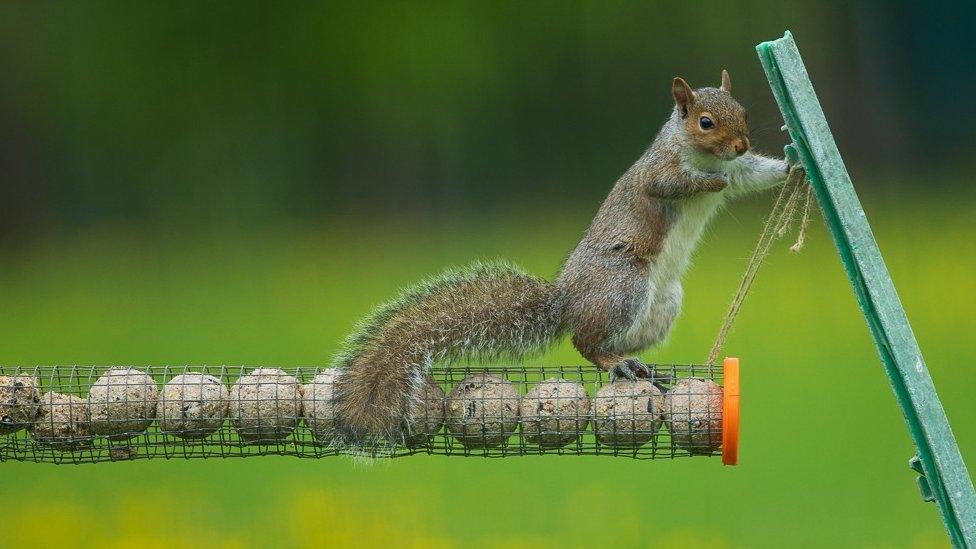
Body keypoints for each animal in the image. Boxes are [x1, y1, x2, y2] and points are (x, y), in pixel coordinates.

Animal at [332, 69, 804, 446]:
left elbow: (752, 175)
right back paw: (616, 363)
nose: (741, 145)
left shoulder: (741, 169)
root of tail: (568, 302)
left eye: (743, 112)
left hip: (662, 302)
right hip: (623, 285)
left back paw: (641, 368)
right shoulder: (660, 171)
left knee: (609, 343)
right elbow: (674, 183)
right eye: (705, 122)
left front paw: (791, 167)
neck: (700, 153)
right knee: (586, 344)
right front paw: (711, 181)